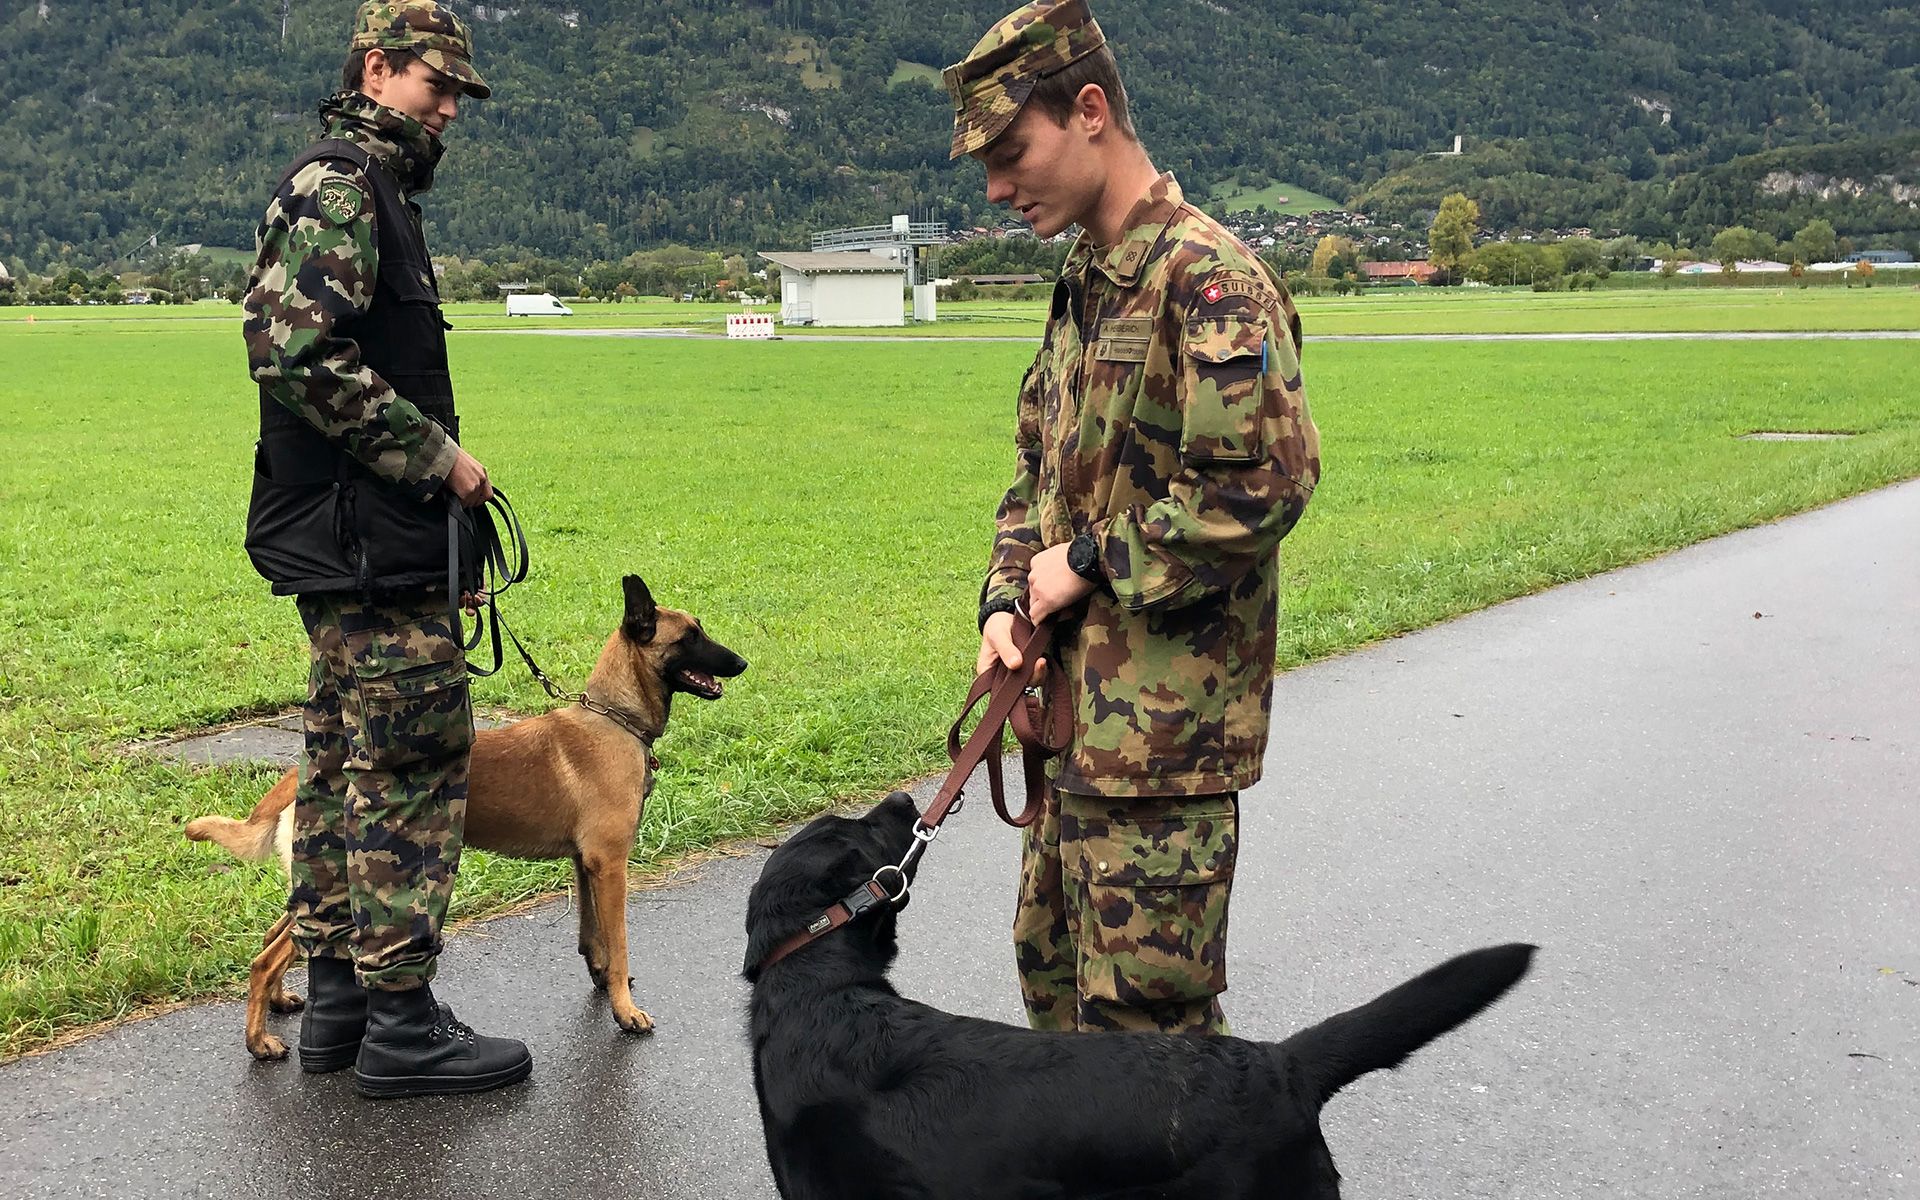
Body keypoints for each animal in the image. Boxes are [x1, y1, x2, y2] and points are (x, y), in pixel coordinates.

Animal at [188, 573, 746, 1059]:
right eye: (690, 637)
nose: (741, 662)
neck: (613, 718)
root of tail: (295, 777)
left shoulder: (586, 864)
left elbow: (594, 938)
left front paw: (603, 981)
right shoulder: (611, 866)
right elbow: (621, 942)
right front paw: (626, 1011)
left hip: (322, 878)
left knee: (279, 936)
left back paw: (280, 1002)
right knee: (267, 958)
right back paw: (259, 1041)